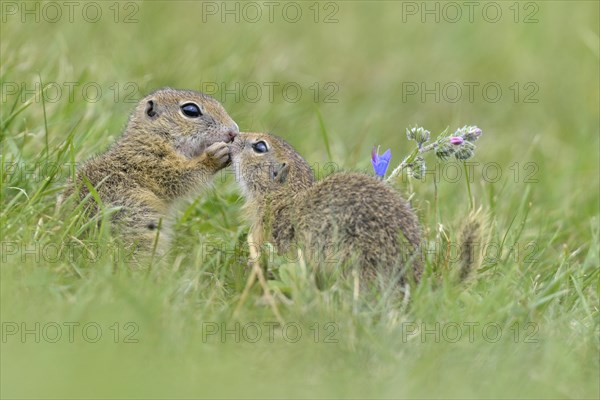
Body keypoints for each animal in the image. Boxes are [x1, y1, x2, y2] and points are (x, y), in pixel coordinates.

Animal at [62, 88, 237, 250]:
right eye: (190, 110)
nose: (234, 132)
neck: (153, 137)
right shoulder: (154, 163)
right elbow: (180, 178)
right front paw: (214, 156)